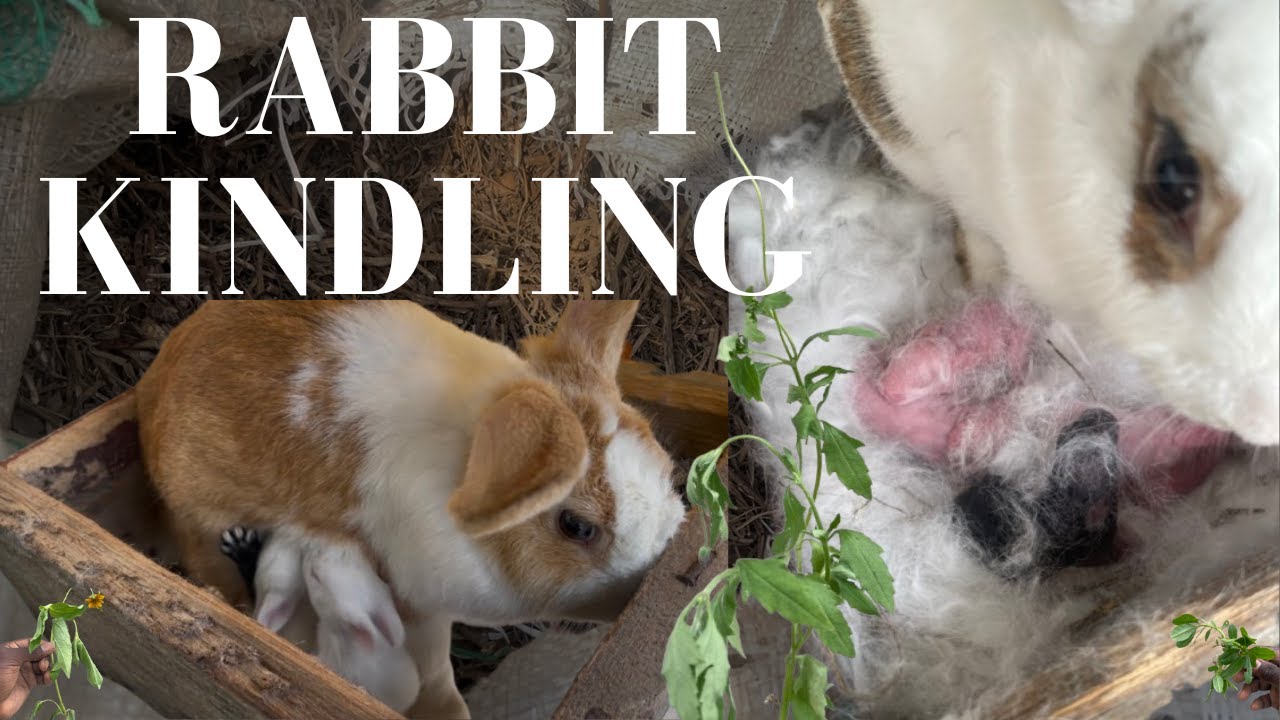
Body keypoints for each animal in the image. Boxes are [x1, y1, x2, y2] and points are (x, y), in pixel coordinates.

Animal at [135, 299, 688, 718]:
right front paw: (448, 711)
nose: (650, 576)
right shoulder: (421, 603)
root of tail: (150, 393)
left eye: (666, 467)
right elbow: (435, 671)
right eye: (576, 526)